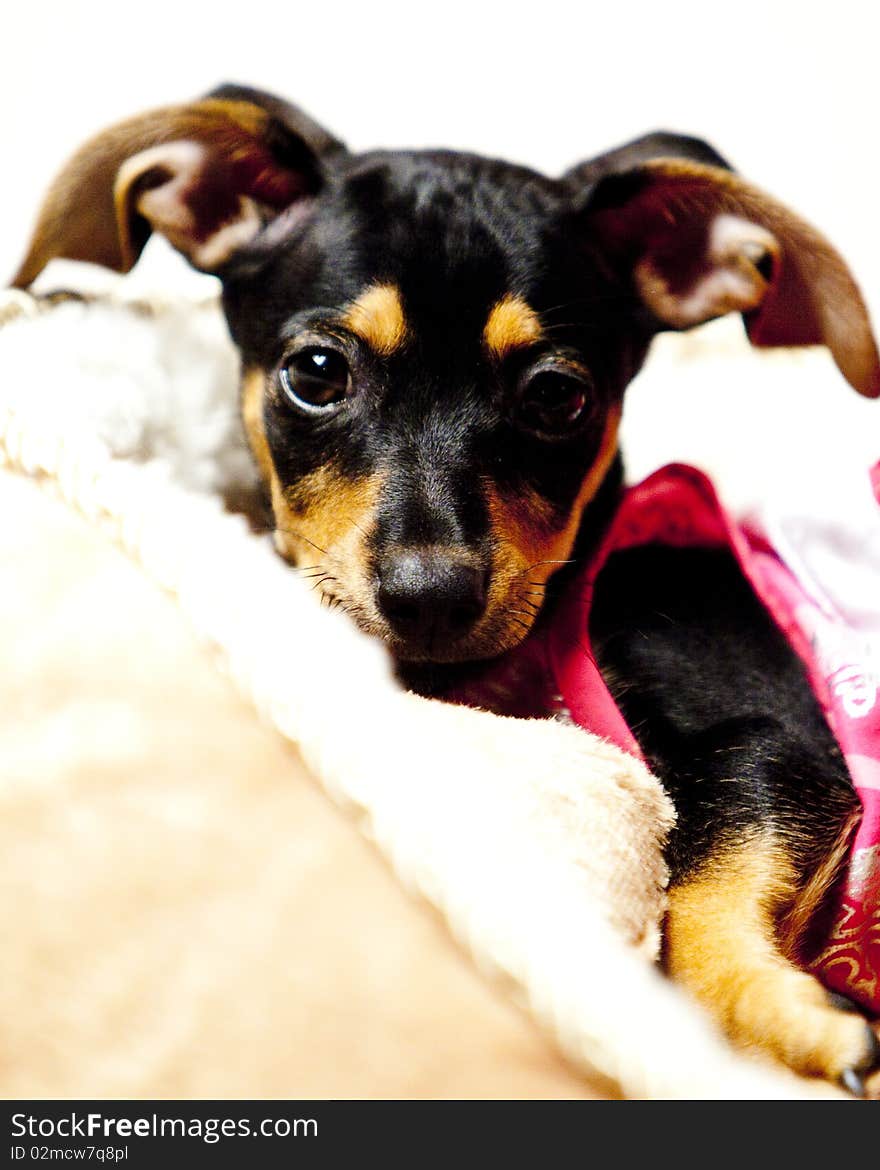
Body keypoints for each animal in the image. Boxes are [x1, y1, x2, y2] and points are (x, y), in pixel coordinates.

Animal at [13, 84, 880, 1095]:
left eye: (558, 397)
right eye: (316, 372)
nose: (429, 598)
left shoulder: (767, 731)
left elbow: (703, 886)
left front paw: (783, 1022)